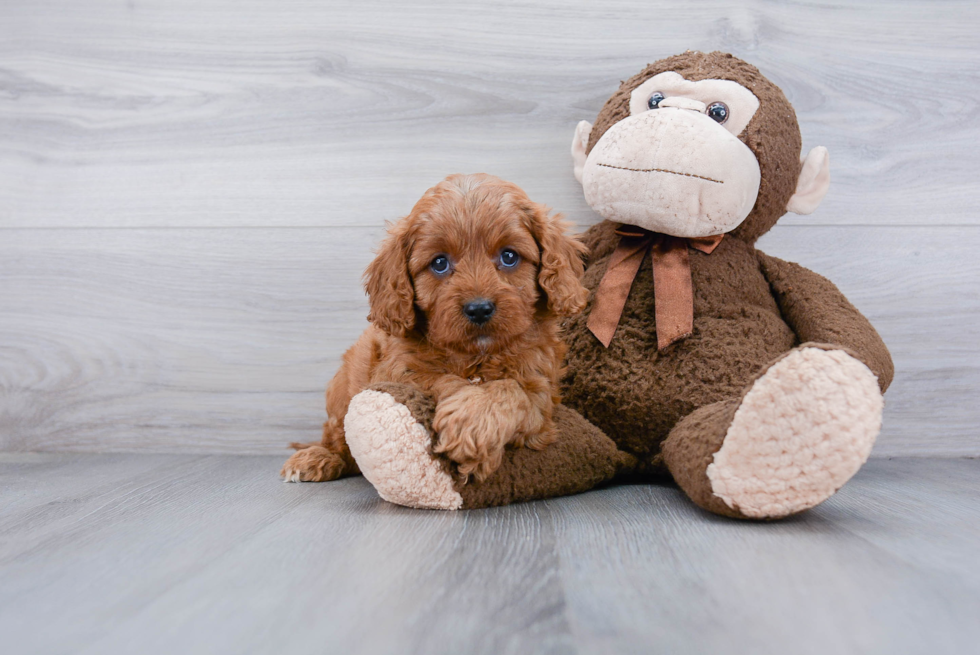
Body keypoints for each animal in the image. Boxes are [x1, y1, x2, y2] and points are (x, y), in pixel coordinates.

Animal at [284, 173, 588, 482]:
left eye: (509, 256)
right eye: (439, 263)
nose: (479, 309)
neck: (475, 356)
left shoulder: (541, 392)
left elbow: (511, 390)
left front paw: (473, 421)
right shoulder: (397, 372)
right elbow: (440, 378)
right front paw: (469, 418)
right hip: (341, 391)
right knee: (338, 436)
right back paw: (316, 458)